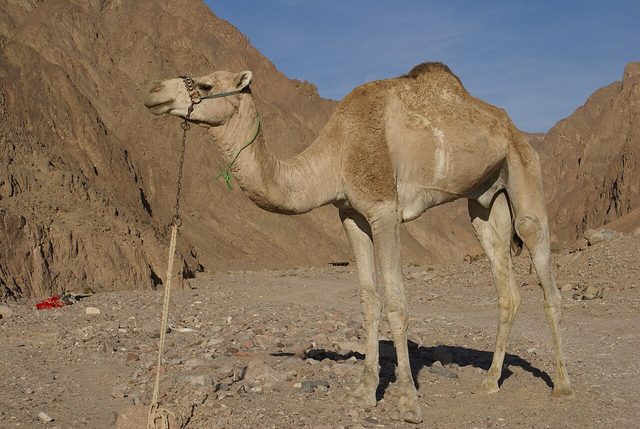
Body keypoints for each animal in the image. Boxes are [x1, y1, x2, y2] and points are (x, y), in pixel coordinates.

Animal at [144, 62, 574, 423]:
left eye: (205, 85)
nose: (154, 92)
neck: (336, 155)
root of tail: (513, 128)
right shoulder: (351, 216)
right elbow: (369, 301)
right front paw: (364, 393)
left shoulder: (385, 212)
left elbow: (397, 305)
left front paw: (408, 403)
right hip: (484, 200)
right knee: (505, 285)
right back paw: (488, 382)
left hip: (523, 170)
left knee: (544, 269)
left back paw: (563, 386)